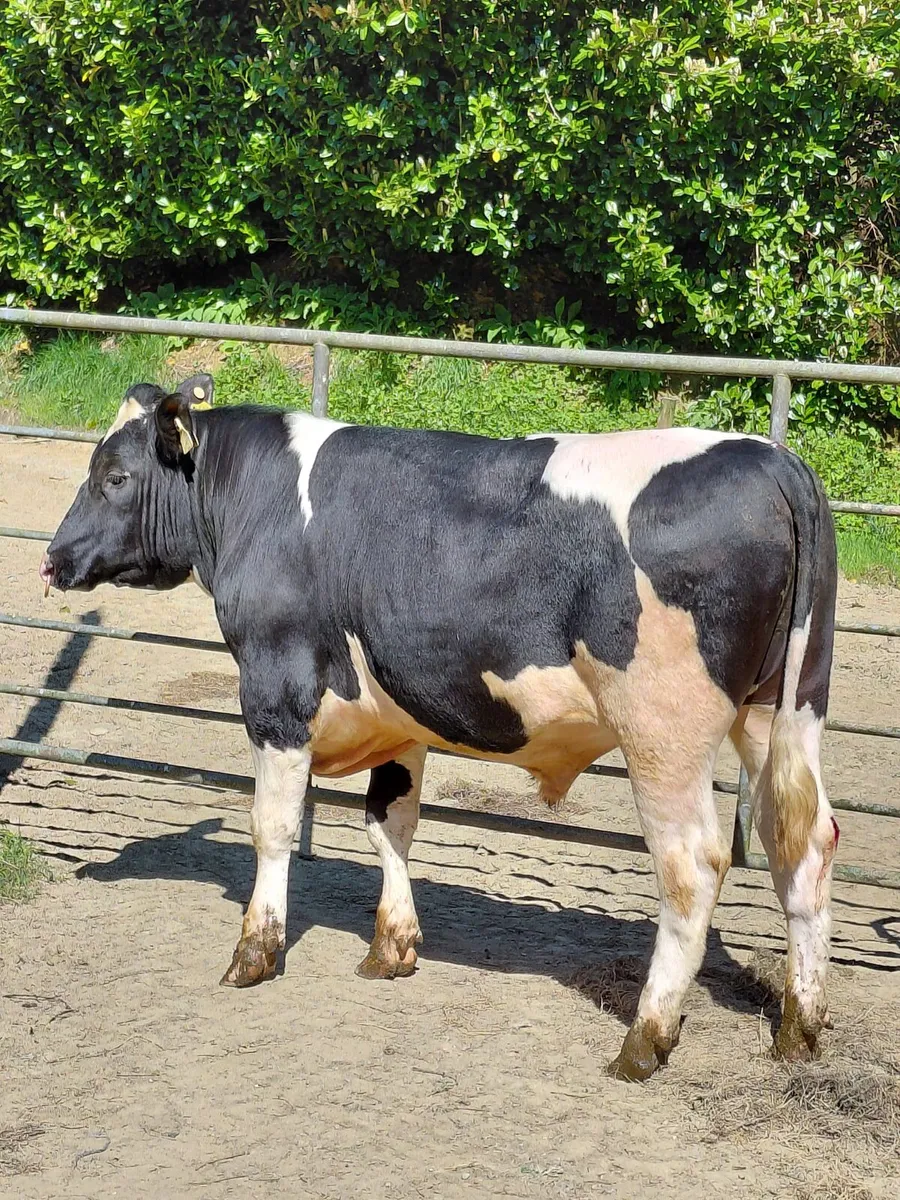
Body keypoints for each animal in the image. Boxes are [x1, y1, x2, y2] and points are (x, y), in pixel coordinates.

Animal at [40, 373, 839, 1081]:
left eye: (114, 475)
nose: (53, 558)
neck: (256, 501)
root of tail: (773, 459)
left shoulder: (275, 689)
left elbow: (271, 825)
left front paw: (254, 954)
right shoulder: (401, 719)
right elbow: (389, 825)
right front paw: (391, 948)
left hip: (663, 733)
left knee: (693, 866)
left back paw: (645, 1040)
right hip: (784, 709)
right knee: (802, 843)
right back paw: (798, 1031)